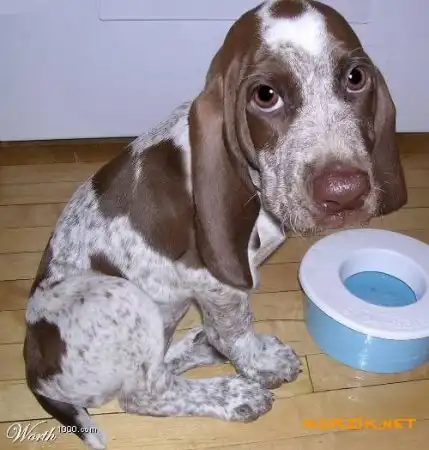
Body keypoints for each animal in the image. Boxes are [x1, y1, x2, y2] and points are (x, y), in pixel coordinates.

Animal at [23, 1, 407, 448]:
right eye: (265, 95)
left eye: (355, 77)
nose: (344, 192)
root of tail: (36, 376)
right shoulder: (215, 280)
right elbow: (236, 329)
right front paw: (258, 364)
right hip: (121, 294)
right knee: (144, 392)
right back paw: (233, 394)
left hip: (161, 310)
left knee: (160, 361)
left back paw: (199, 347)